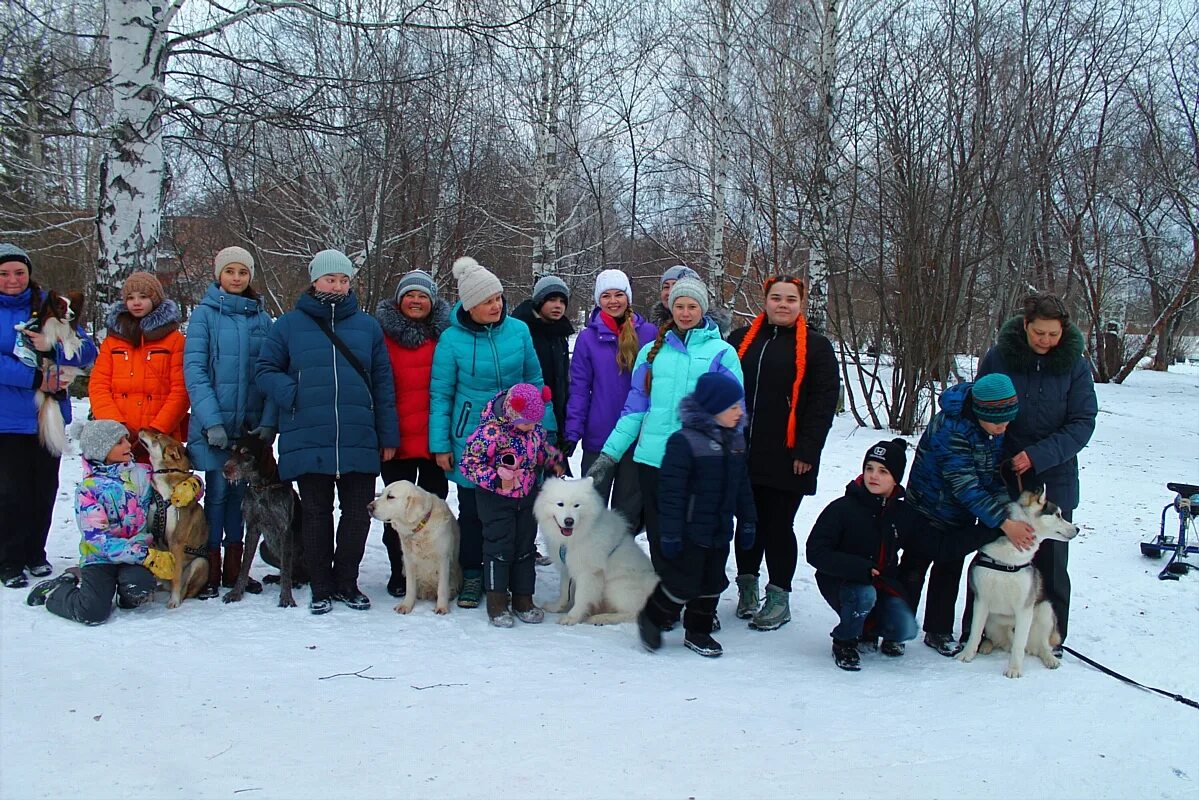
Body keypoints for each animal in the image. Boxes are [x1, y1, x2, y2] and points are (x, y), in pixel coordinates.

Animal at [137, 431, 208, 606]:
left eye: (157, 436)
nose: (141, 429)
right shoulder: (152, 533)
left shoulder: (176, 541)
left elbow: (176, 576)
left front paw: (174, 602)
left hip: (200, 563)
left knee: (185, 590)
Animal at [366, 479, 460, 618]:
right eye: (381, 494)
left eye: (390, 497)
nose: (368, 507)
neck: (420, 527)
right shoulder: (408, 560)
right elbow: (410, 587)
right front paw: (406, 606)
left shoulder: (443, 559)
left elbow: (442, 588)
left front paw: (442, 607)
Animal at [534, 474, 661, 623]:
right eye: (560, 504)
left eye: (577, 505)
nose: (569, 521)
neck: (576, 537)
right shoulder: (567, 567)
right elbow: (564, 591)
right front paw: (556, 607)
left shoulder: (589, 572)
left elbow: (580, 597)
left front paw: (572, 618)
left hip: (616, 585)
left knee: (634, 613)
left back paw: (601, 618)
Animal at [959, 484, 1083, 681]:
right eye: (1057, 515)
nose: (1077, 529)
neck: (1008, 561)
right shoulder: (981, 601)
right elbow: (975, 632)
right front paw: (966, 654)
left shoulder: (1024, 608)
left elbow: (1019, 646)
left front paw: (1014, 669)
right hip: (992, 621)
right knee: (993, 638)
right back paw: (986, 646)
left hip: (1045, 610)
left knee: (1042, 646)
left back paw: (1050, 658)